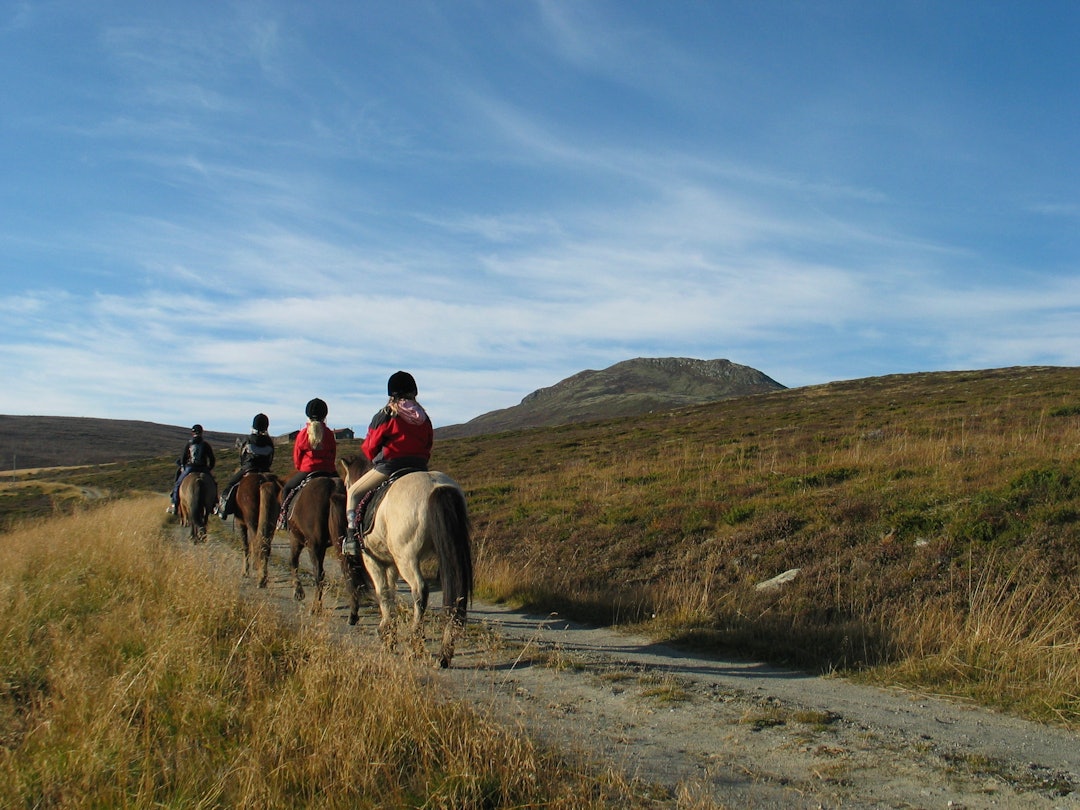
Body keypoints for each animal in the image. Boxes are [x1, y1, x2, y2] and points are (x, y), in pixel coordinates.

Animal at [336, 457, 473, 673]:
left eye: (347, 483)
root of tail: (435, 486)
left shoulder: (373, 560)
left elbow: (383, 592)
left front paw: (387, 633)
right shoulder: (390, 563)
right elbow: (391, 591)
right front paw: (389, 631)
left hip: (406, 558)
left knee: (420, 591)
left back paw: (415, 642)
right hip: (444, 553)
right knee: (454, 596)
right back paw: (444, 653)